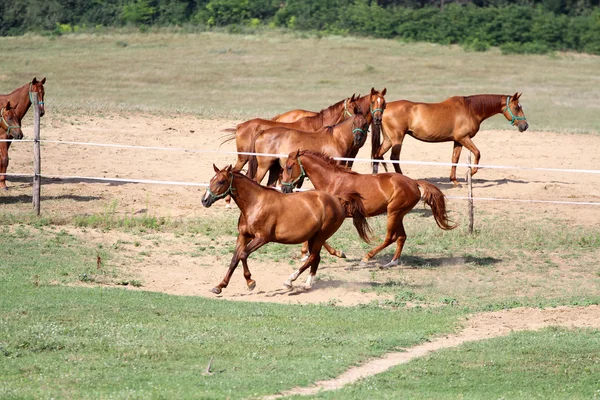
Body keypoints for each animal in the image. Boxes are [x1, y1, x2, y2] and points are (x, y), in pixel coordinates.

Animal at [202, 165, 370, 294]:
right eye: (211, 180)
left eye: (221, 181)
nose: (204, 200)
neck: (254, 204)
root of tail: (337, 199)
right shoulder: (243, 236)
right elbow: (234, 259)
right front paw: (219, 286)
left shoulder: (262, 238)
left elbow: (243, 255)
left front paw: (251, 282)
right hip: (313, 237)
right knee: (316, 258)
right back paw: (307, 284)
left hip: (320, 236)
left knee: (312, 257)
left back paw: (289, 281)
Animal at [372, 92, 528, 184]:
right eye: (516, 108)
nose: (525, 126)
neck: (470, 109)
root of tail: (384, 108)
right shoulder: (464, 138)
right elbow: (477, 153)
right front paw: (469, 174)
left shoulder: (457, 141)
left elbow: (455, 159)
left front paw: (454, 180)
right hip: (397, 139)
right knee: (394, 158)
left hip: (388, 139)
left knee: (378, 155)